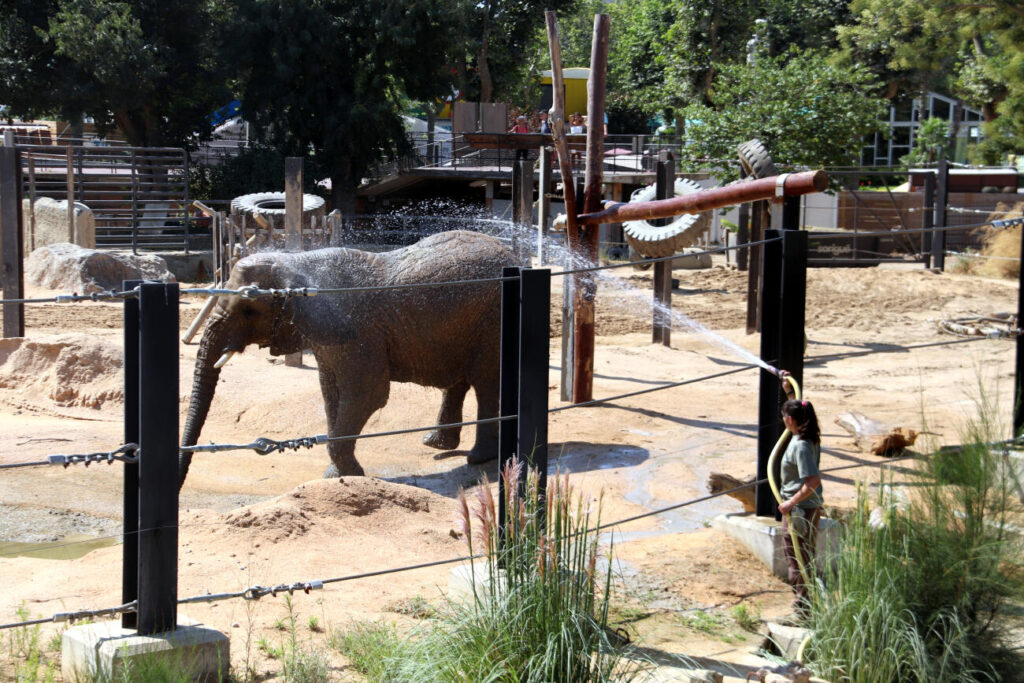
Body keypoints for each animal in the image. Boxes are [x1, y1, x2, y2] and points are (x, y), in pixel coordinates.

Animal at [176, 232, 520, 489]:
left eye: (249, 310)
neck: (296, 266)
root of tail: (514, 254)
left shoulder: (355, 330)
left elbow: (367, 393)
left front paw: (348, 475)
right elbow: (331, 394)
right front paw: (337, 476)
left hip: (495, 319)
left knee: (486, 382)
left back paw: (478, 458)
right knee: (462, 380)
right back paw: (435, 444)